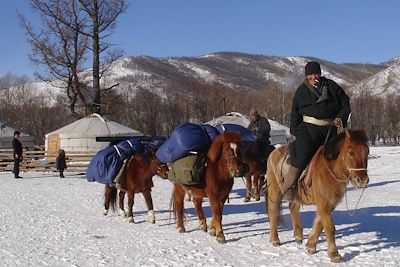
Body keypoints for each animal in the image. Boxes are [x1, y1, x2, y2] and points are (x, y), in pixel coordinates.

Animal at [266, 130, 368, 264]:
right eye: (350, 152)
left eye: (367, 152)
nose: (362, 180)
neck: (329, 170)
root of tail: (274, 152)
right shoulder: (324, 204)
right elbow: (330, 228)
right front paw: (334, 254)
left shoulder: (328, 204)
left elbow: (320, 224)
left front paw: (311, 245)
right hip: (275, 191)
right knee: (273, 210)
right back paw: (275, 239)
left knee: (293, 207)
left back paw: (298, 235)